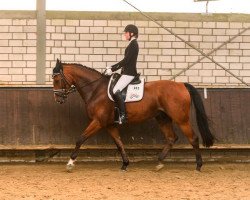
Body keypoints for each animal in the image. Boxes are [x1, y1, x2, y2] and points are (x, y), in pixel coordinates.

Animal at [51, 59, 214, 172]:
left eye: (57, 79)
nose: (58, 99)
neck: (96, 89)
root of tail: (181, 85)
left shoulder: (98, 122)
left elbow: (80, 139)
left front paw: (70, 163)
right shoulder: (110, 124)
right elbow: (119, 143)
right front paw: (125, 164)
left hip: (181, 119)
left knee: (193, 138)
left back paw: (198, 166)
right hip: (162, 118)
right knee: (171, 138)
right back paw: (159, 162)